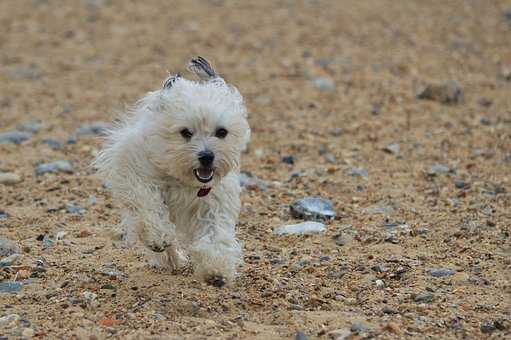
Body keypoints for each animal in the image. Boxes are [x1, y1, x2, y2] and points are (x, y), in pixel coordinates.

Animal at [94, 57, 252, 286]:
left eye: (221, 132)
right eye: (185, 132)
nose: (207, 156)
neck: (182, 178)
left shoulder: (214, 202)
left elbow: (215, 233)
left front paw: (216, 269)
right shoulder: (137, 174)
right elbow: (149, 206)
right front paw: (158, 237)